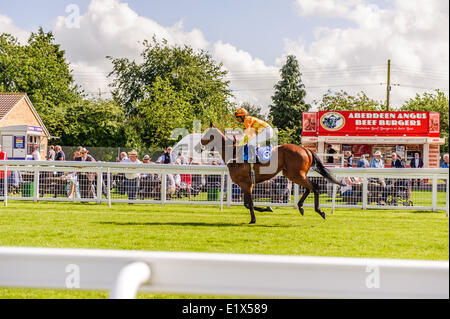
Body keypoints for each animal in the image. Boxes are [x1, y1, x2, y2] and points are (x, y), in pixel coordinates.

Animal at [197, 123, 344, 225]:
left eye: (206, 133)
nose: (197, 146)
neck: (234, 154)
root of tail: (305, 149)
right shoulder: (248, 184)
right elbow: (247, 203)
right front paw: (266, 209)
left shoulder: (245, 183)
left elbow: (249, 204)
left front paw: (255, 218)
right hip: (293, 174)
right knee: (309, 188)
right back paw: (301, 207)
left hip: (296, 174)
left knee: (315, 187)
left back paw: (319, 211)